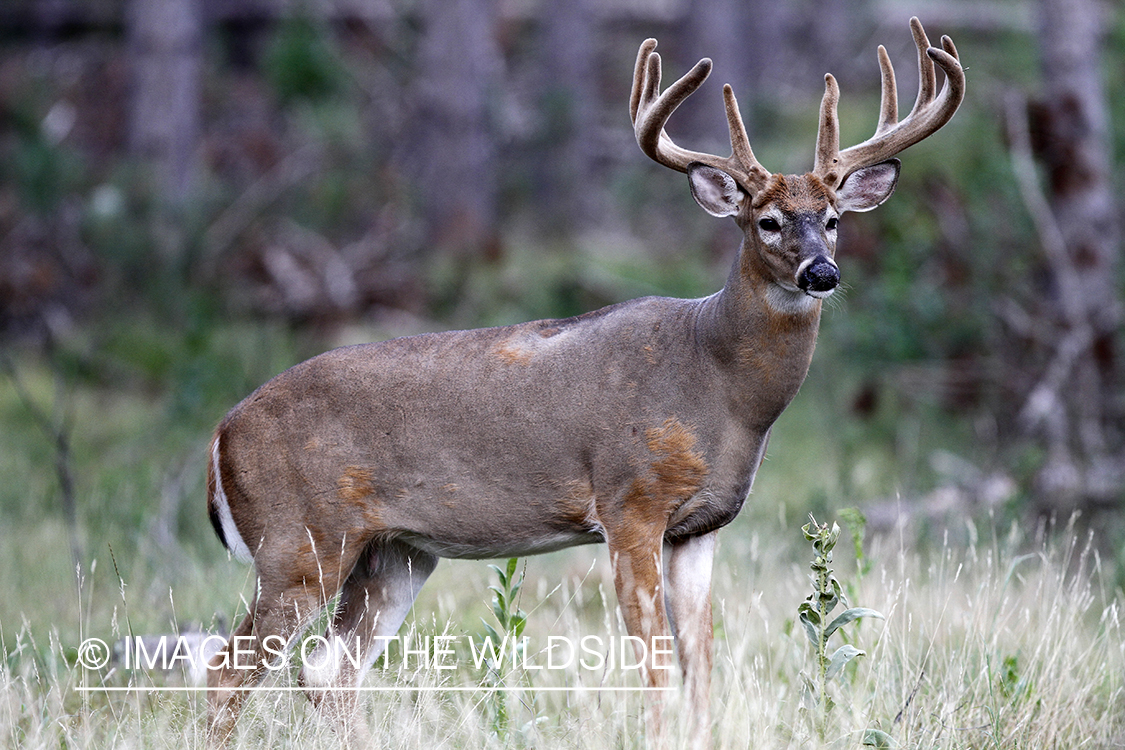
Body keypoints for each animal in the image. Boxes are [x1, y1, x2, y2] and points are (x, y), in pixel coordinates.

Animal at [207, 16, 963, 746]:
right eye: (768, 221)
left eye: (833, 220)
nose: (821, 273)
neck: (715, 380)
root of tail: (221, 435)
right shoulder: (629, 501)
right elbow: (654, 664)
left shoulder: (700, 526)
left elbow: (701, 663)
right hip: (298, 540)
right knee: (228, 668)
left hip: (394, 552)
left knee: (325, 668)